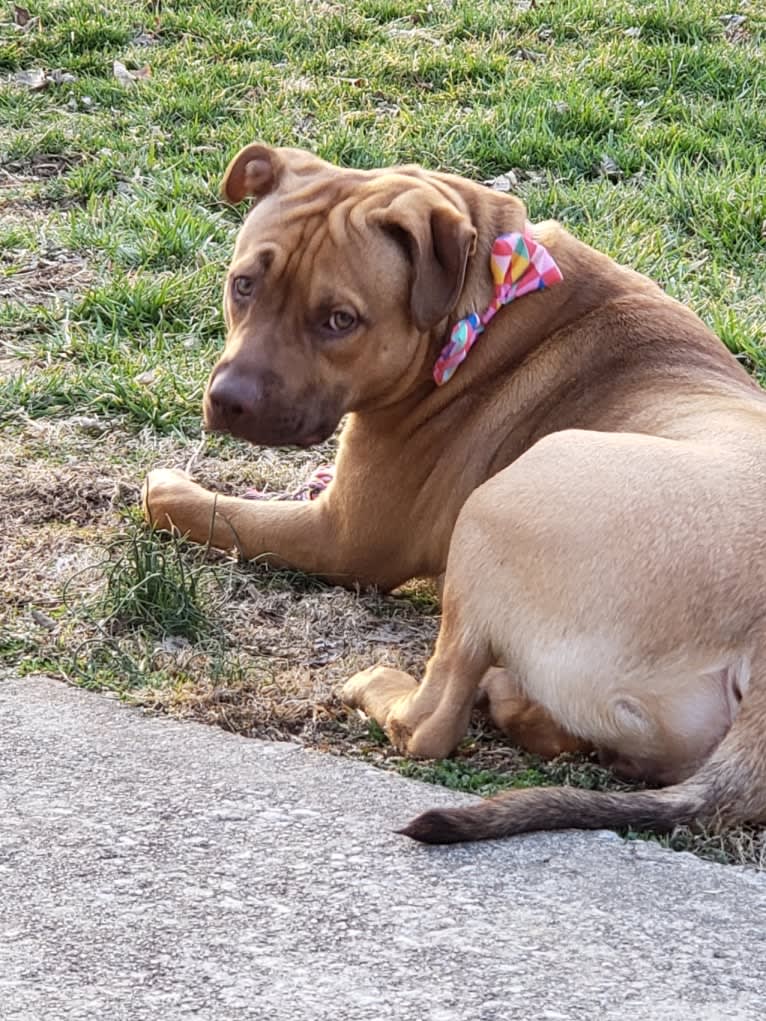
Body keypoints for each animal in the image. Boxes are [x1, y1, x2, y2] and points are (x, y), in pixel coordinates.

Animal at [145, 143, 766, 845]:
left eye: (340, 320)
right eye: (244, 284)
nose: (230, 401)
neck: (485, 300)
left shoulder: (342, 537)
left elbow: (189, 505)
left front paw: (170, 485)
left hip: (499, 505)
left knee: (430, 723)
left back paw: (389, 686)